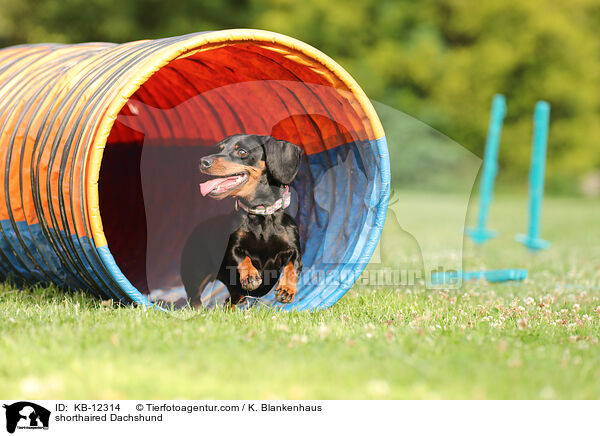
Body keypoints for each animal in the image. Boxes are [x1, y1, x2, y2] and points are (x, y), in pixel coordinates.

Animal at [179, 135, 302, 308]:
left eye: (242, 152)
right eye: (219, 148)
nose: (203, 162)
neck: (261, 214)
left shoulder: (294, 248)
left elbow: (293, 266)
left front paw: (286, 290)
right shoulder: (233, 247)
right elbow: (242, 258)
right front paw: (250, 276)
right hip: (195, 275)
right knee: (195, 299)